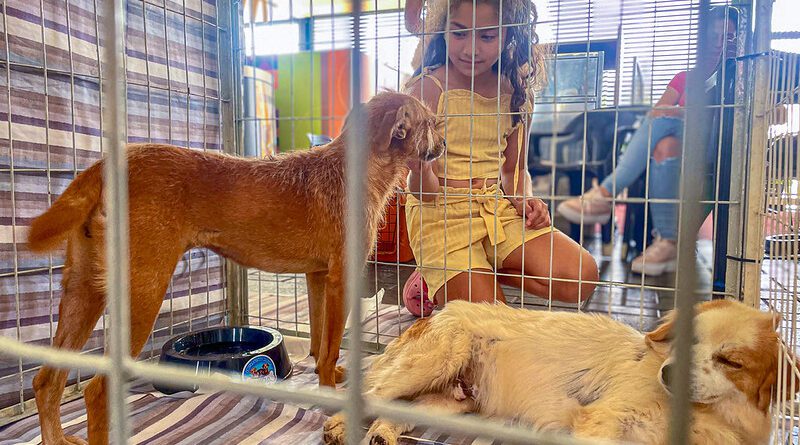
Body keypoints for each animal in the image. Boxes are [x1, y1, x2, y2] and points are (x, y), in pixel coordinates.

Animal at [25, 91, 445, 445]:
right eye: (431, 122)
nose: (443, 145)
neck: (359, 167)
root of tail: (104, 165)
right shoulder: (342, 278)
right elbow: (330, 346)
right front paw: (330, 391)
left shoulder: (317, 277)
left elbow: (318, 340)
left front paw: (325, 375)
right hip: (142, 293)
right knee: (96, 389)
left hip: (82, 293)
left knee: (47, 380)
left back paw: (56, 438)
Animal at [323, 299, 799, 445]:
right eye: (689, 340)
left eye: (732, 361)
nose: (669, 374)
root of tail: (434, 313)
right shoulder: (601, 422)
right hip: (435, 359)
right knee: (372, 393)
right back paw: (337, 425)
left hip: (453, 403)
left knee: (399, 410)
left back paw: (382, 434)